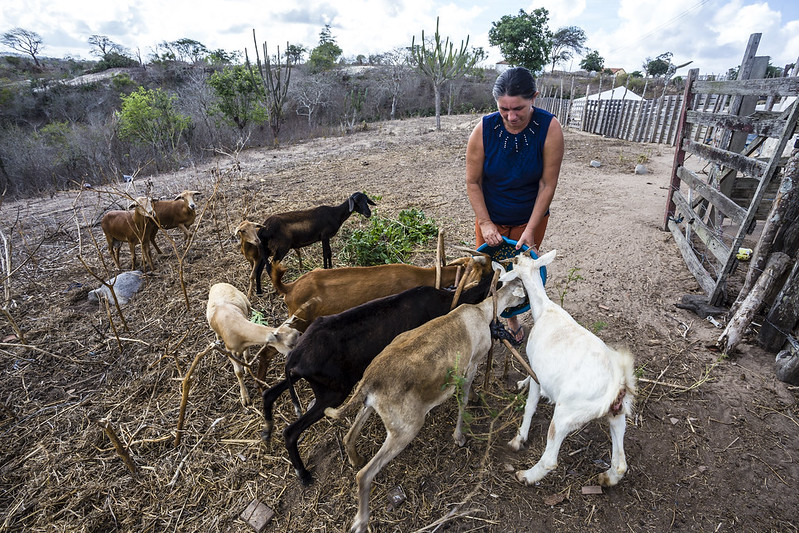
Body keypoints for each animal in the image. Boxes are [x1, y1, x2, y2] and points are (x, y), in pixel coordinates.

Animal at [262, 264, 496, 484]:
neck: (445, 301)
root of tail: (296, 355)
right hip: (332, 394)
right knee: (290, 432)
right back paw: (303, 474)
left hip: (307, 380)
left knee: (269, 394)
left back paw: (267, 434)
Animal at [324, 272, 524, 532]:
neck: (482, 311)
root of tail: (370, 380)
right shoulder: (471, 365)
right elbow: (464, 398)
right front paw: (460, 436)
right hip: (405, 428)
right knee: (364, 475)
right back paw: (361, 520)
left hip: (370, 405)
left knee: (349, 436)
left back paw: (355, 459)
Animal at [504, 251, 636, 488]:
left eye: (516, 262)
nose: (517, 253)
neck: (545, 309)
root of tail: (617, 385)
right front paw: (520, 383)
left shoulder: (538, 373)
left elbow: (530, 406)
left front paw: (519, 439)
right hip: (617, 414)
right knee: (621, 463)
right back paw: (606, 478)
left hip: (566, 414)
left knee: (550, 459)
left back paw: (526, 475)